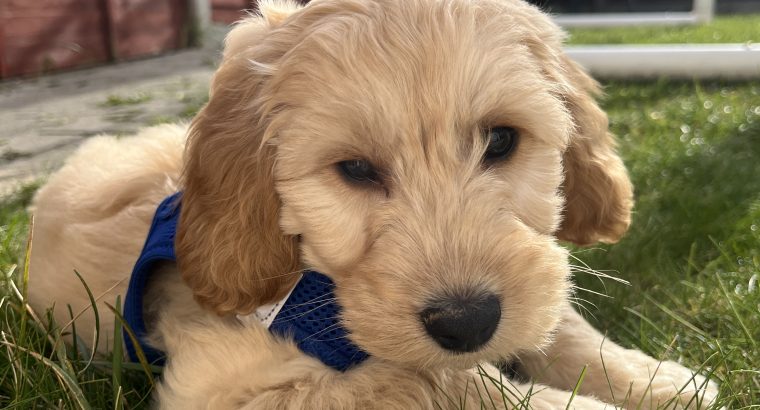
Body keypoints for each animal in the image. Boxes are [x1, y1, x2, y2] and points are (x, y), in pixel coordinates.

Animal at [26, 0, 720, 406]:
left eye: (501, 139)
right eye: (354, 170)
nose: (467, 323)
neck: (308, 286)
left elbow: (558, 322)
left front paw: (656, 378)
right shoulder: (231, 383)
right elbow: (440, 379)